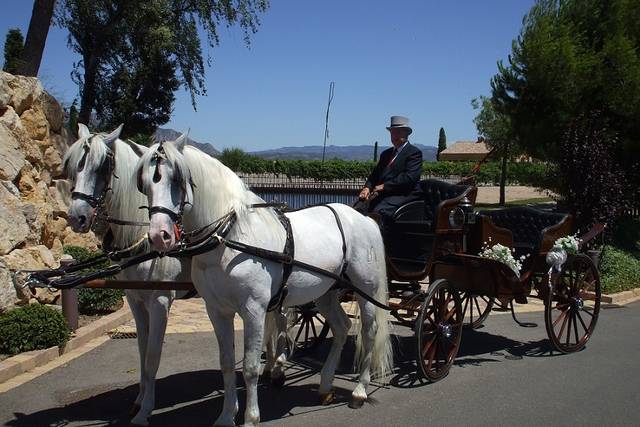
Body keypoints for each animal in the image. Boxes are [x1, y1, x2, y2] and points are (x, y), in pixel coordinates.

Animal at [62, 124, 192, 427]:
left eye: (102, 167)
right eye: (74, 167)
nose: (76, 217)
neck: (140, 233)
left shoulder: (159, 301)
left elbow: (153, 355)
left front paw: (145, 411)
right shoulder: (135, 299)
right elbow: (142, 350)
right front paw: (138, 401)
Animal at [135, 135, 392, 426]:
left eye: (178, 179)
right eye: (143, 184)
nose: (159, 236)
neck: (231, 236)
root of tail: (364, 219)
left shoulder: (254, 310)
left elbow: (250, 367)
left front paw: (251, 417)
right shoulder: (217, 310)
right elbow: (226, 363)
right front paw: (226, 415)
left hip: (364, 288)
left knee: (369, 332)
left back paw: (360, 390)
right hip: (325, 293)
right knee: (341, 327)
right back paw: (326, 386)